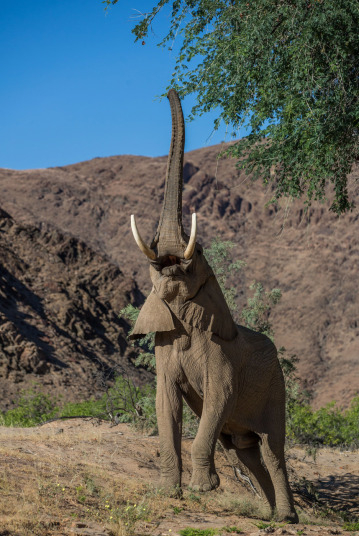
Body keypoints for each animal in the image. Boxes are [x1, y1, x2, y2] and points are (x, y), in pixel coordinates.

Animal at [129, 89, 298, 524]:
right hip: (244, 426)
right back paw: (267, 515)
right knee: (243, 450)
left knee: (272, 450)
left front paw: (202, 490)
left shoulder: (221, 355)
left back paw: (286, 519)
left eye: (200, 251)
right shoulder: (165, 347)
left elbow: (219, 396)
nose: (171, 90)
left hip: (276, 388)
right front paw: (169, 492)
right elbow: (165, 402)